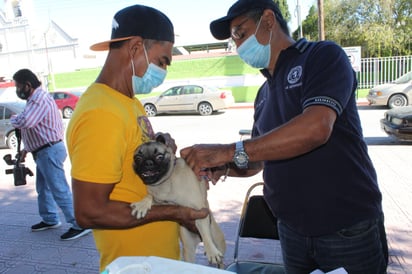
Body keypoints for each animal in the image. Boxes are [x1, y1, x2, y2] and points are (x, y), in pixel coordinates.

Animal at [131, 138, 225, 266]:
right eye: (138, 158)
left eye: (159, 156)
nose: (148, 162)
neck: (166, 181)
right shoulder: (160, 201)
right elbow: (149, 196)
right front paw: (142, 205)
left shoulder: (199, 210)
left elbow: (206, 233)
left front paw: (211, 252)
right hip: (188, 248)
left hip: (218, 241)